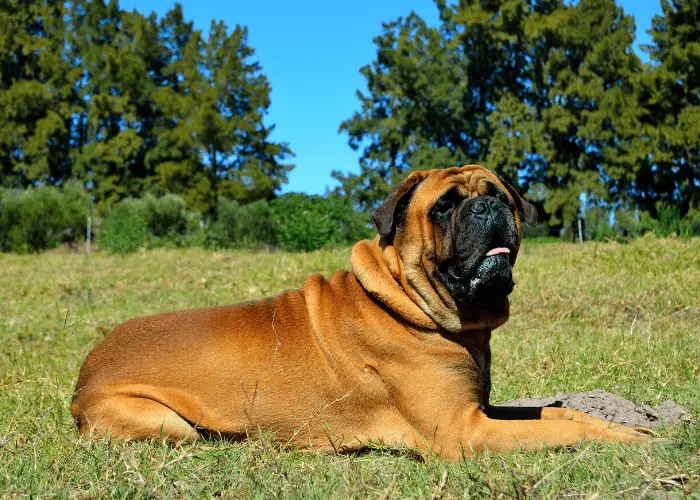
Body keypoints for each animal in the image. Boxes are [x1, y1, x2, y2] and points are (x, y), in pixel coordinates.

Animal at [69, 165, 644, 460]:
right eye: (444, 206)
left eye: (500, 193)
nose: (489, 206)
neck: (407, 302)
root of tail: (84, 373)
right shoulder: (464, 431)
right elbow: (560, 431)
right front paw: (628, 437)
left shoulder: (478, 411)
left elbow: (558, 415)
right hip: (170, 423)